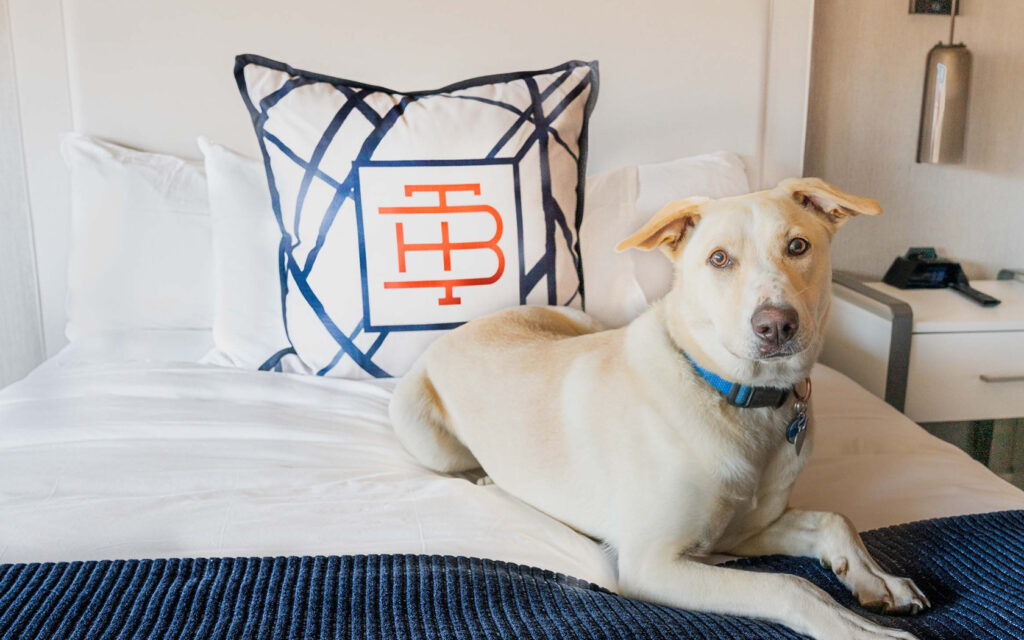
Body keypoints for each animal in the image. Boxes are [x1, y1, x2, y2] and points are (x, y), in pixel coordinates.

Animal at [389, 176, 929, 638]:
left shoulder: (745, 531)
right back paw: (485, 480)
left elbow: (835, 519)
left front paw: (875, 580)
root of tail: (468, 324)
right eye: (719, 259)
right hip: (420, 426)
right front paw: (858, 628)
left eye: (798, 246)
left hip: (579, 321)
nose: (776, 325)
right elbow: (790, 585)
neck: (744, 401)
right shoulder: (654, 564)